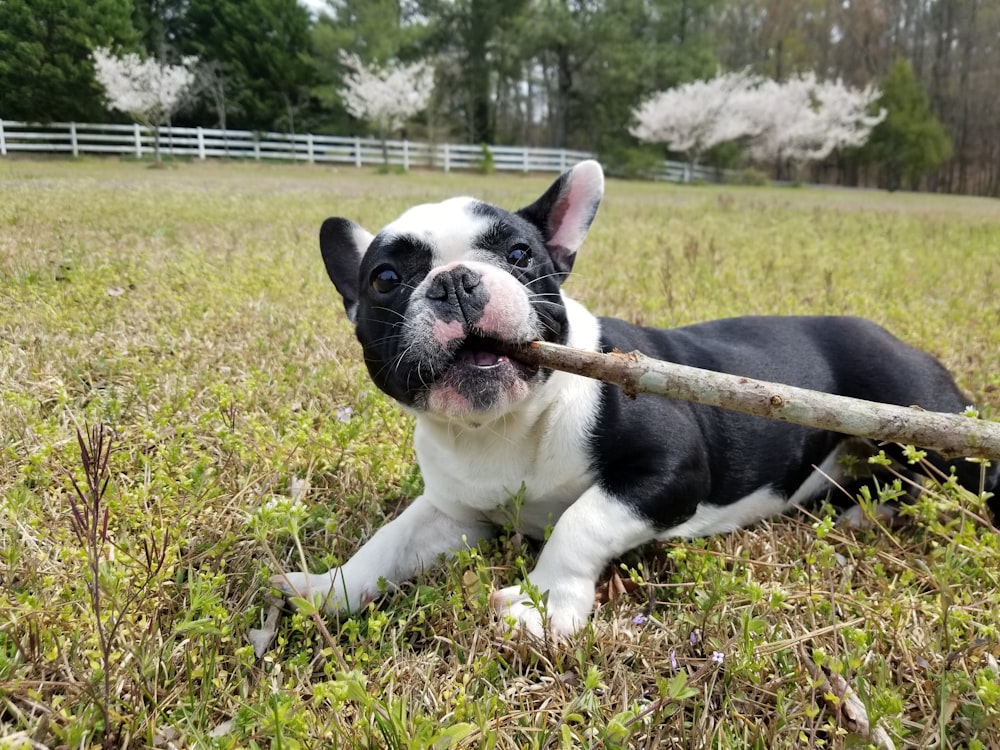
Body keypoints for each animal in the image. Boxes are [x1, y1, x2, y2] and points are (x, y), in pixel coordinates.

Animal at [270, 160, 996, 640]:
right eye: (386, 279)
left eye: (519, 255)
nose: (453, 282)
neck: (507, 425)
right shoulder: (455, 512)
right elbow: (390, 541)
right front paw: (329, 589)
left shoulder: (668, 471)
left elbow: (578, 521)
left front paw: (543, 605)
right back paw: (868, 513)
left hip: (930, 427)